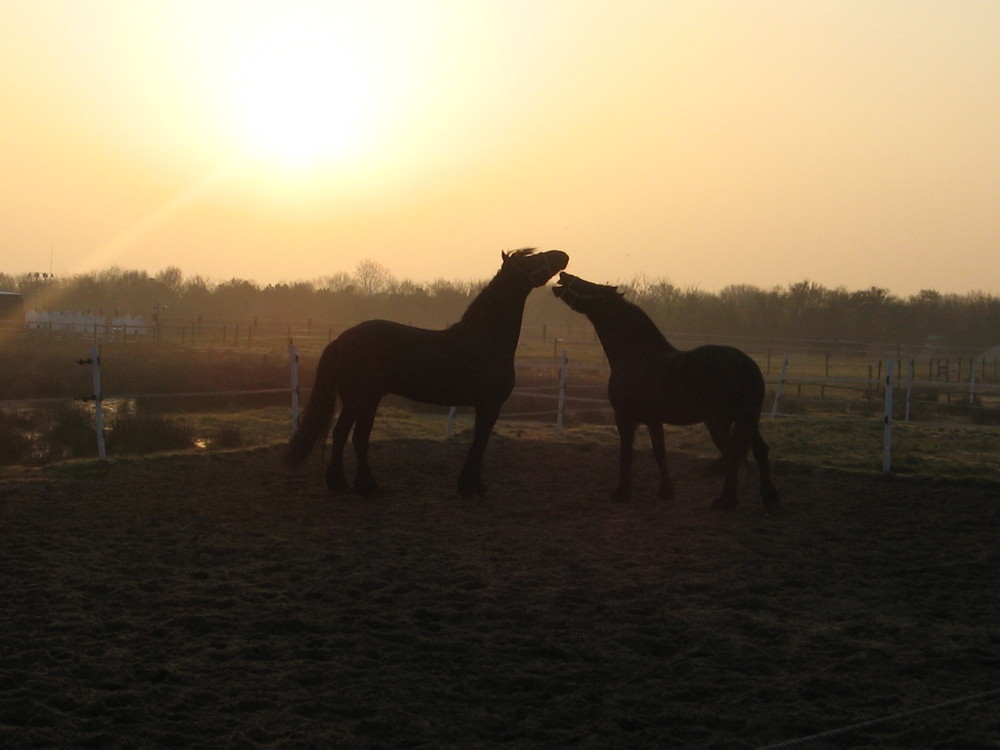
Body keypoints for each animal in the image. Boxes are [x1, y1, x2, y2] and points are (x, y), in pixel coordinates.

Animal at [290, 250, 572, 502]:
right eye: (529, 259)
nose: (562, 256)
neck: (484, 339)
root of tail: (342, 339)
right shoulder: (490, 406)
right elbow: (479, 444)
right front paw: (470, 487)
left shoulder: (485, 407)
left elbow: (479, 443)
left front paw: (472, 486)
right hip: (366, 398)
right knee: (358, 437)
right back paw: (368, 487)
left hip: (353, 400)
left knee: (340, 434)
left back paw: (339, 483)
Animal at [552, 274, 776, 516]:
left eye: (588, 286)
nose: (563, 276)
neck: (637, 356)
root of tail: (748, 366)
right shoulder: (654, 419)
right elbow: (660, 452)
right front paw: (666, 491)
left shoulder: (624, 417)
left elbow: (626, 452)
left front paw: (621, 493)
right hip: (746, 420)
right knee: (758, 451)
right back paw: (769, 499)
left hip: (719, 422)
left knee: (732, 454)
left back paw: (726, 501)